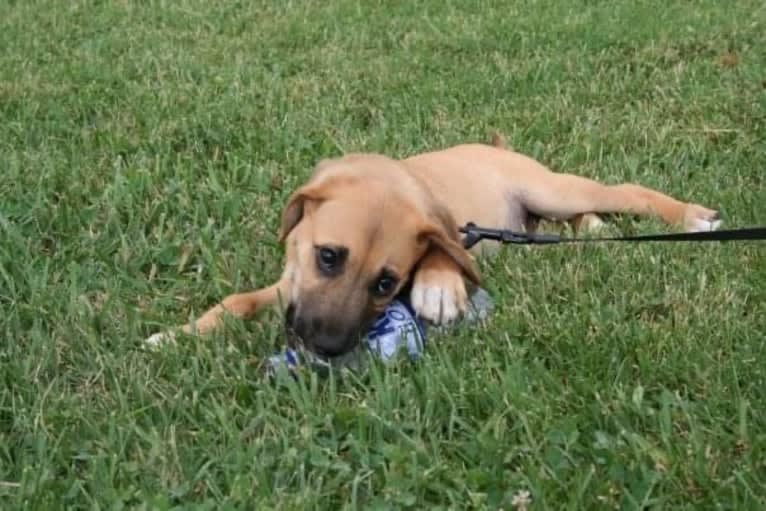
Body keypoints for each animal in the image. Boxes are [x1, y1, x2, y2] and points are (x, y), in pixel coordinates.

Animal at [147, 137, 724, 356]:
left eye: (387, 283)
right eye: (328, 256)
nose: (326, 349)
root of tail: (495, 146)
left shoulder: (447, 230)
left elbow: (442, 251)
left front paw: (440, 290)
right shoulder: (291, 284)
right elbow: (238, 301)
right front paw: (178, 334)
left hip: (552, 189)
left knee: (625, 192)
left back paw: (691, 216)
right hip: (544, 213)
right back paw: (594, 230)